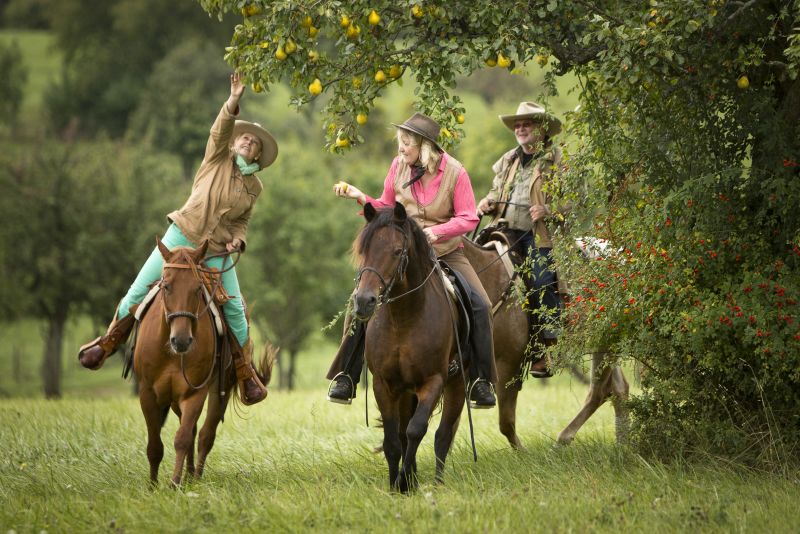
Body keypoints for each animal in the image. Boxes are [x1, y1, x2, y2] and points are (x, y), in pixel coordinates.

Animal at [134, 241, 276, 488]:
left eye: (198, 289)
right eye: (166, 286)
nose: (181, 340)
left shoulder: (194, 393)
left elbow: (182, 438)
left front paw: (174, 483)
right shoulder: (147, 393)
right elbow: (155, 445)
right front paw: (152, 487)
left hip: (220, 389)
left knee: (204, 434)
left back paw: (194, 477)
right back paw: (189, 475)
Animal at [354, 204, 466, 494]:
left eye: (396, 251)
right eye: (364, 250)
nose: (364, 301)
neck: (403, 319)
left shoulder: (433, 381)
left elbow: (417, 430)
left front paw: (404, 479)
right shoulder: (384, 384)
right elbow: (394, 439)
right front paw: (398, 485)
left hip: (457, 385)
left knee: (442, 435)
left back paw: (437, 483)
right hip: (405, 392)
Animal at [462, 237, 632, 450]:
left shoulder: (509, 364)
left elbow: (506, 422)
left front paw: (523, 452)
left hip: (604, 341)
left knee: (600, 391)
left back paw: (563, 440)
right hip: (604, 342)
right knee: (618, 389)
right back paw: (622, 444)